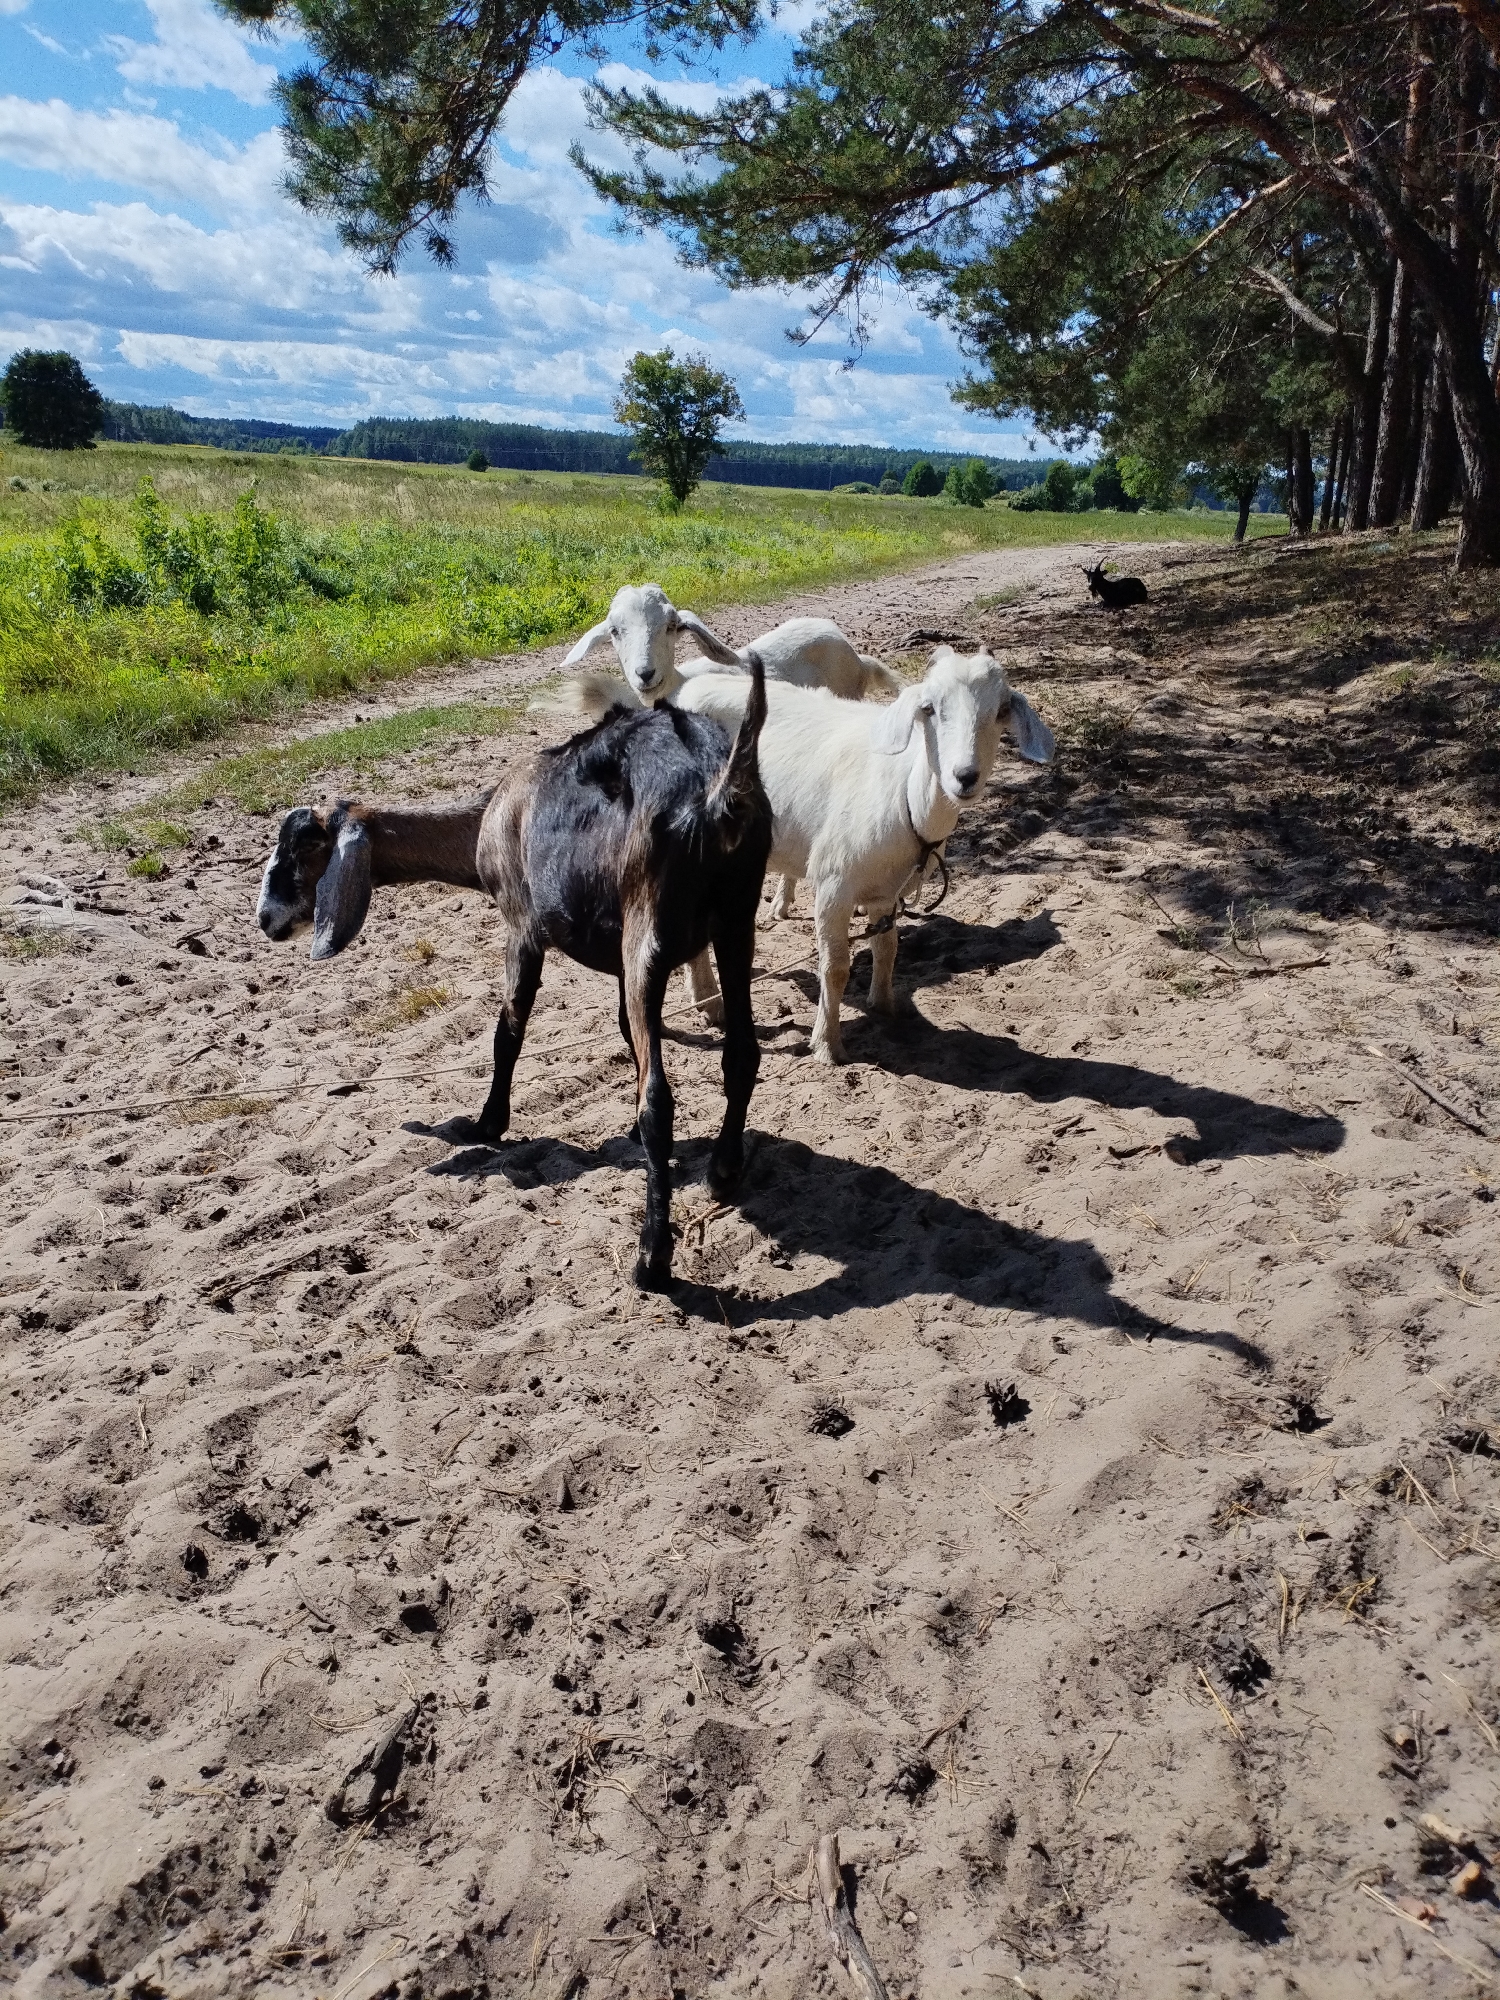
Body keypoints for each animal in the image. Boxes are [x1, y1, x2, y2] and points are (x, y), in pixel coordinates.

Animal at [256, 660, 772, 1290]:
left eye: (305, 847)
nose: (266, 920)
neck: (490, 813)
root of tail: (719, 793)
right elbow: (626, 1033)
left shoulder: (522, 926)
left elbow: (509, 1032)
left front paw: (487, 1124)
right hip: (735, 919)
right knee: (741, 1053)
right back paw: (722, 1169)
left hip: (646, 929)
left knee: (660, 1100)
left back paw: (651, 1257)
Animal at [673, 646, 1054, 1063]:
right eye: (929, 708)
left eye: (1002, 710)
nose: (965, 776)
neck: (905, 797)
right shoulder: (833, 884)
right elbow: (835, 967)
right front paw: (827, 1045)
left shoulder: (886, 893)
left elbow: (887, 948)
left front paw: (884, 1006)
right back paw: (711, 1004)